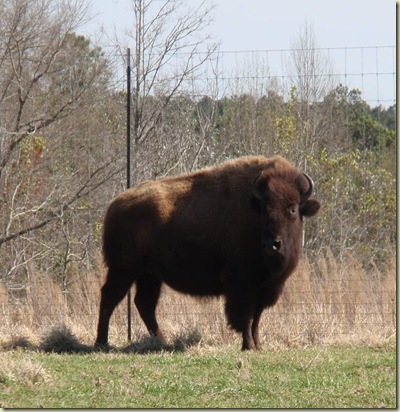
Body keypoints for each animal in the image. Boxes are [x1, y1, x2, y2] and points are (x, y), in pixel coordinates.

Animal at [96, 155, 322, 350]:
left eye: (292, 208)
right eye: (264, 209)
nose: (271, 244)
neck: (253, 214)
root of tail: (115, 205)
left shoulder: (265, 288)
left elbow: (256, 318)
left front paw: (257, 346)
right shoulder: (242, 286)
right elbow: (246, 317)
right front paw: (248, 345)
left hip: (149, 275)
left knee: (144, 303)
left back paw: (162, 341)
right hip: (123, 270)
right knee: (110, 297)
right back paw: (102, 343)